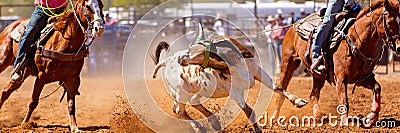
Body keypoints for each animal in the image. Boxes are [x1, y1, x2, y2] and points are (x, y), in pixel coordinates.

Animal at [0, 0, 104, 131]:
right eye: (87, 6)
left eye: (101, 6)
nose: (99, 29)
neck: (65, 43)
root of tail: (11, 26)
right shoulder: (41, 77)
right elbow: (33, 101)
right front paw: (24, 123)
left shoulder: (73, 79)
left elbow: (71, 105)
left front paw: (74, 127)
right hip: (3, 59)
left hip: (24, 72)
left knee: (6, 91)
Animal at [274, 0, 398, 128]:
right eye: (389, 22)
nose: (398, 47)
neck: (356, 40)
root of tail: (294, 25)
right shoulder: (340, 79)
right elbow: (344, 101)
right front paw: (345, 122)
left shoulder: (363, 78)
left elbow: (377, 88)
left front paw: (371, 117)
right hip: (288, 62)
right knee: (279, 86)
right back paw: (278, 114)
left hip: (318, 75)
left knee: (313, 94)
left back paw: (318, 116)